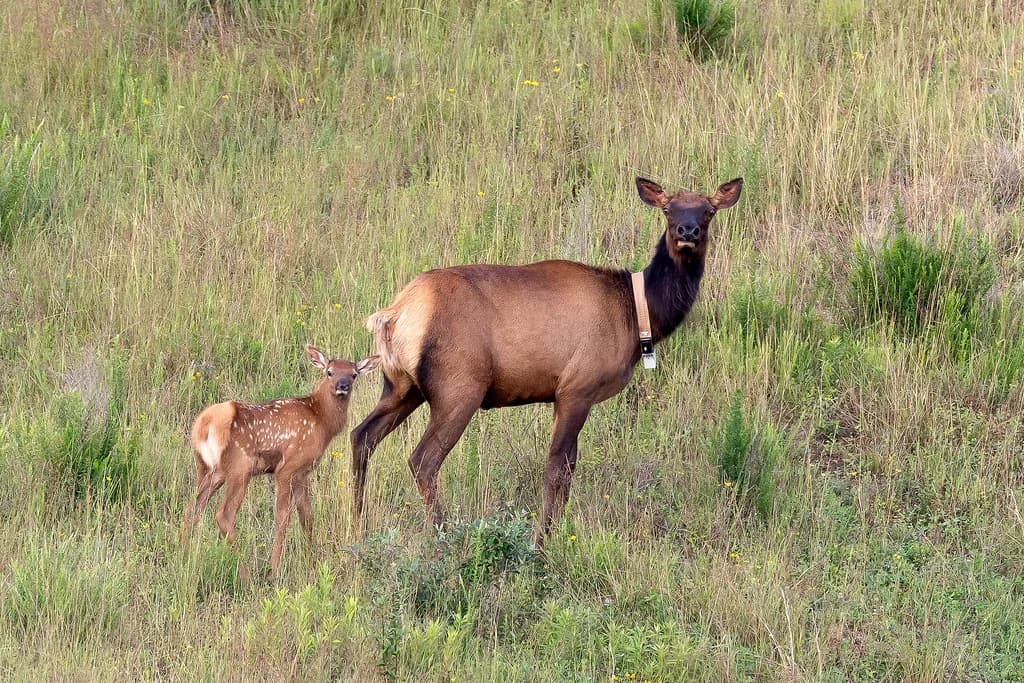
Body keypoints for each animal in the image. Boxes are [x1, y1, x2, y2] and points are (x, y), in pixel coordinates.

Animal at [182, 345, 380, 575]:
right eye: (329, 372)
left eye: (354, 374)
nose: (343, 386)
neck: (321, 420)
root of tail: (204, 424)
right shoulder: (287, 468)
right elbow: (282, 519)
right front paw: (274, 570)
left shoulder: (303, 472)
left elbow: (307, 516)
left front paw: (312, 561)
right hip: (240, 467)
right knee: (223, 515)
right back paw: (246, 573)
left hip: (211, 470)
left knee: (192, 508)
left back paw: (184, 556)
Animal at [350, 175, 742, 545]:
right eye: (668, 209)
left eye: (708, 210)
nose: (687, 232)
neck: (637, 317)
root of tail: (394, 314)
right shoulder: (576, 388)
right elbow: (557, 470)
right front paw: (541, 541)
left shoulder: (565, 396)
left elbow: (568, 470)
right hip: (458, 388)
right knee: (423, 460)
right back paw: (442, 535)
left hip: (401, 386)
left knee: (361, 435)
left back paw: (356, 526)